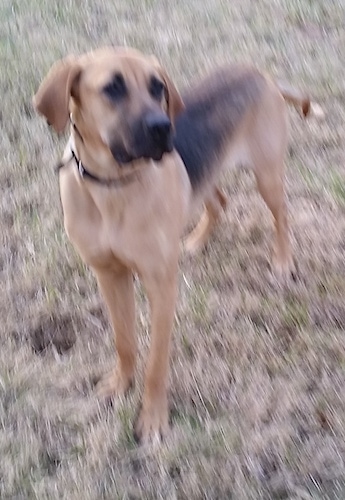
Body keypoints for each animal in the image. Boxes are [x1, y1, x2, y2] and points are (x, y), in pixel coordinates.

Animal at [33, 47, 310, 442]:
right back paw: (195, 241)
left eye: (157, 86)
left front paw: (152, 419)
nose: (163, 128)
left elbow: (156, 363)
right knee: (220, 202)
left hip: (267, 174)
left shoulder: (160, 285)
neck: (113, 187)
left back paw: (283, 262)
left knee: (281, 215)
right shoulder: (109, 274)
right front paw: (119, 383)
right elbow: (124, 341)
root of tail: (261, 74)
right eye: (112, 88)